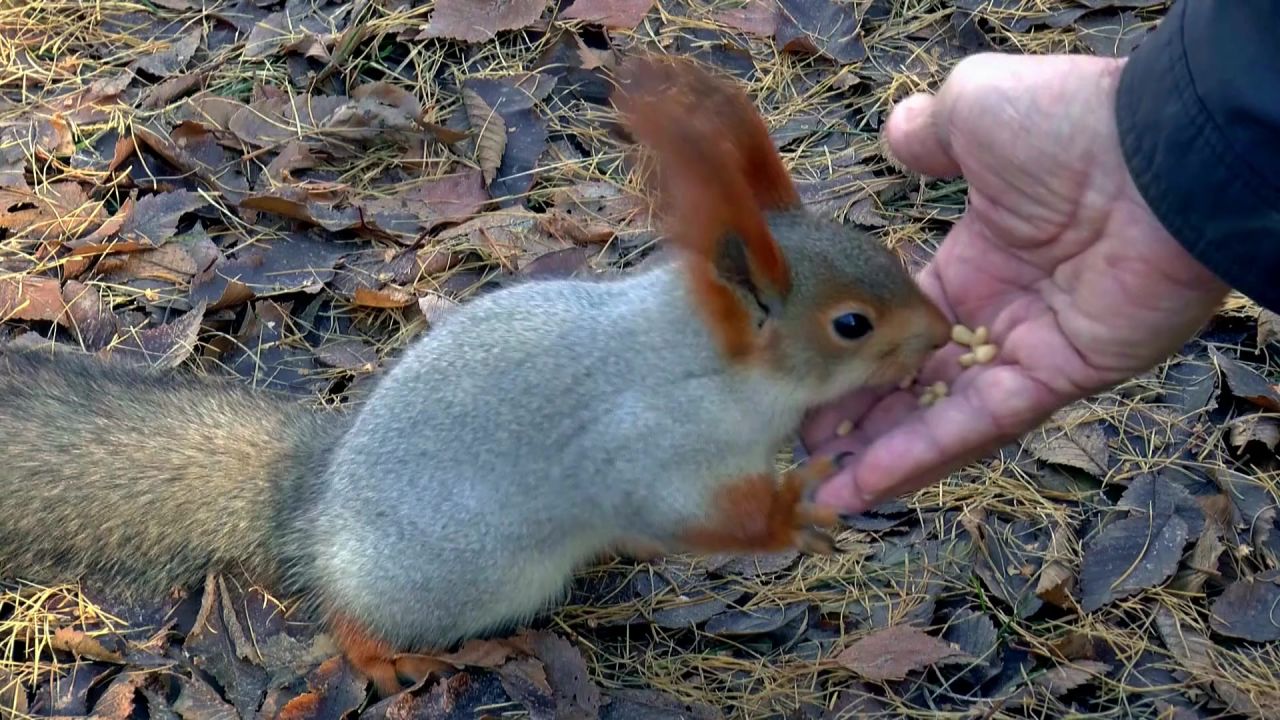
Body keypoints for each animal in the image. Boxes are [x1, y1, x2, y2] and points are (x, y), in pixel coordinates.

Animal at [0, 56, 952, 696]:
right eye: (852, 325)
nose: (945, 335)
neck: (712, 364)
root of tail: (313, 510)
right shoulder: (646, 447)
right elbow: (677, 509)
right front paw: (791, 515)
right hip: (460, 577)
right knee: (352, 622)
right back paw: (397, 654)